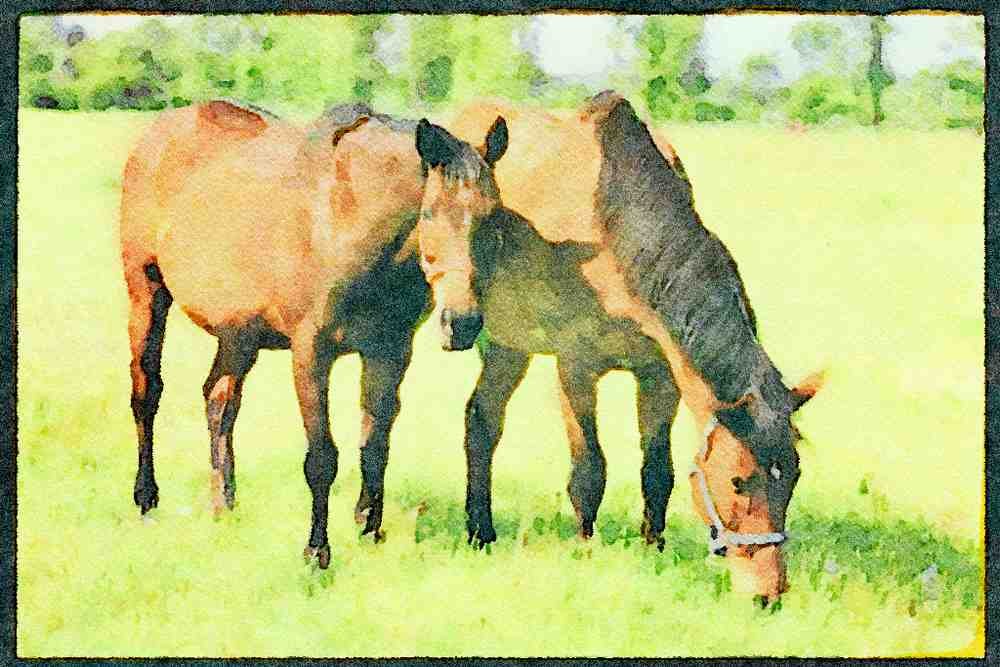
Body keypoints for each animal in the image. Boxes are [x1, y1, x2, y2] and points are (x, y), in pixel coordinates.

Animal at [120, 100, 445, 566]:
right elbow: (322, 457)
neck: (348, 218)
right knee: (147, 393)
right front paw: (317, 552)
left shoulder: (391, 350)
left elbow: (375, 446)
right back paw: (147, 500)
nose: (468, 320)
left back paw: (223, 505)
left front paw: (369, 529)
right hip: (146, 293)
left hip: (238, 335)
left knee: (219, 401)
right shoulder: (311, 351)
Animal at [415, 92, 822, 602]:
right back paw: (480, 532)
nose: (768, 593)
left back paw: (481, 532)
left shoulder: (660, 374)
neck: (614, 232)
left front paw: (654, 549)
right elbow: (589, 470)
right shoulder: (575, 367)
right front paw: (585, 551)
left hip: (512, 348)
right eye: (738, 480)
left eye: (795, 474)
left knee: (482, 421)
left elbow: (658, 471)